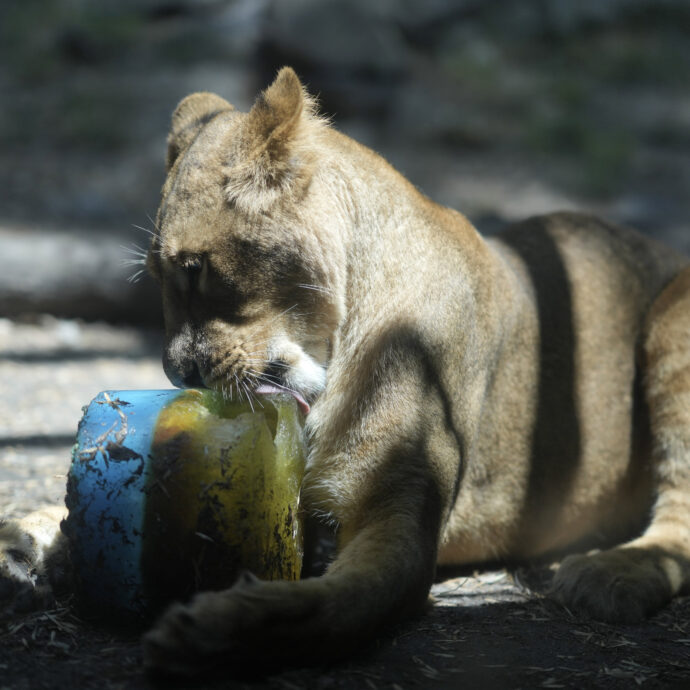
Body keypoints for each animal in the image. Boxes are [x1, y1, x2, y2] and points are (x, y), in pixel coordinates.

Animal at [1, 68, 688, 672]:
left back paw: (609, 573)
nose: (177, 372)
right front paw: (22, 542)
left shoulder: (401, 524)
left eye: (194, 271)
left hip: (671, 325)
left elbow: (336, 606)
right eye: (154, 280)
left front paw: (229, 625)